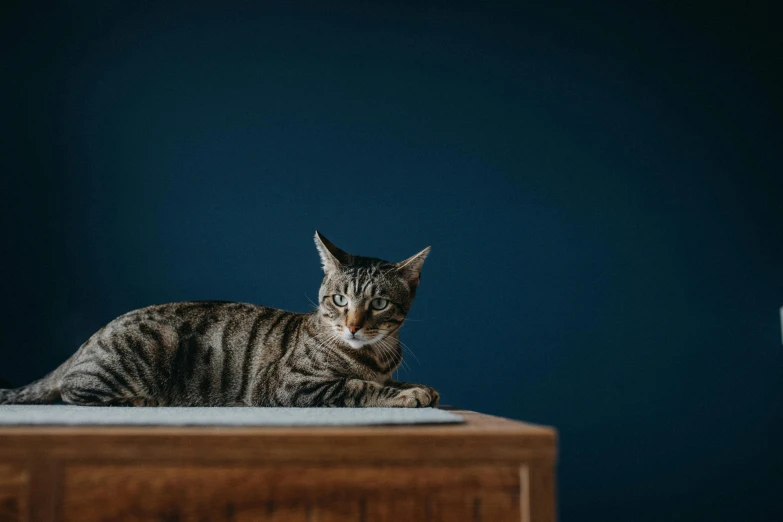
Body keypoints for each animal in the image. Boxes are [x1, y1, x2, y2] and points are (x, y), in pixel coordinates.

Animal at [0, 232, 440, 406]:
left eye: (378, 303)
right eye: (339, 299)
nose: (353, 325)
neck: (374, 357)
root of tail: (86, 343)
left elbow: (389, 381)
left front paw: (419, 388)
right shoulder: (293, 386)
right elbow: (359, 388)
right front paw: (406, 396)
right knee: (72, 391)